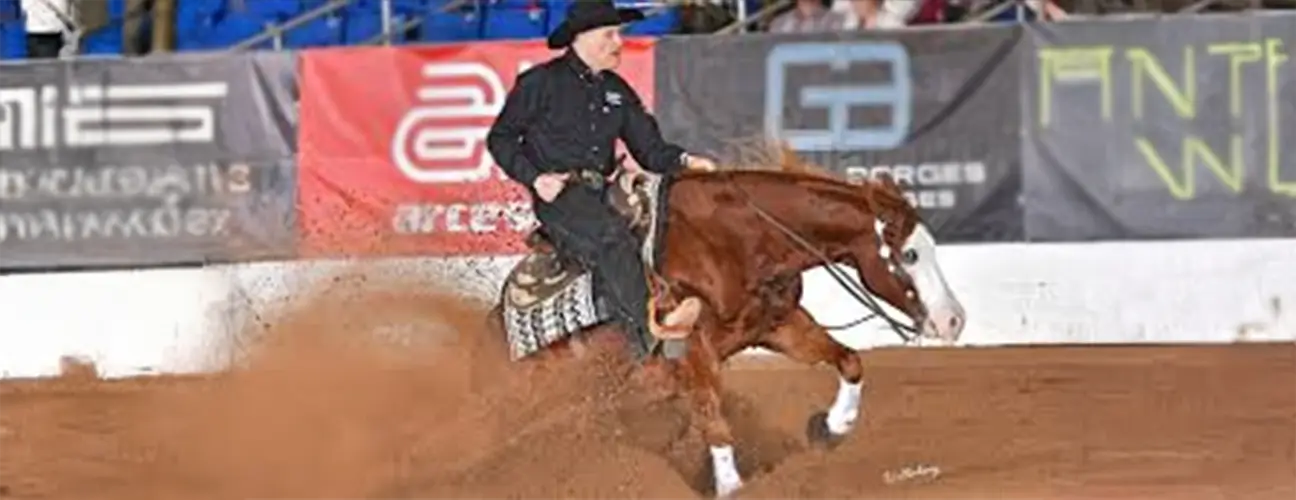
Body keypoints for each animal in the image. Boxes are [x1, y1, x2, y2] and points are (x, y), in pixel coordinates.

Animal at [487, 149, 967, 498]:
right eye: (910, 255)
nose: (954, 320)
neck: (731, 242)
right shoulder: (693, 351)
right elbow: (715, 420)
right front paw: (731, 485)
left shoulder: (779, 324)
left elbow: (848, 360)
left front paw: (832, 427)